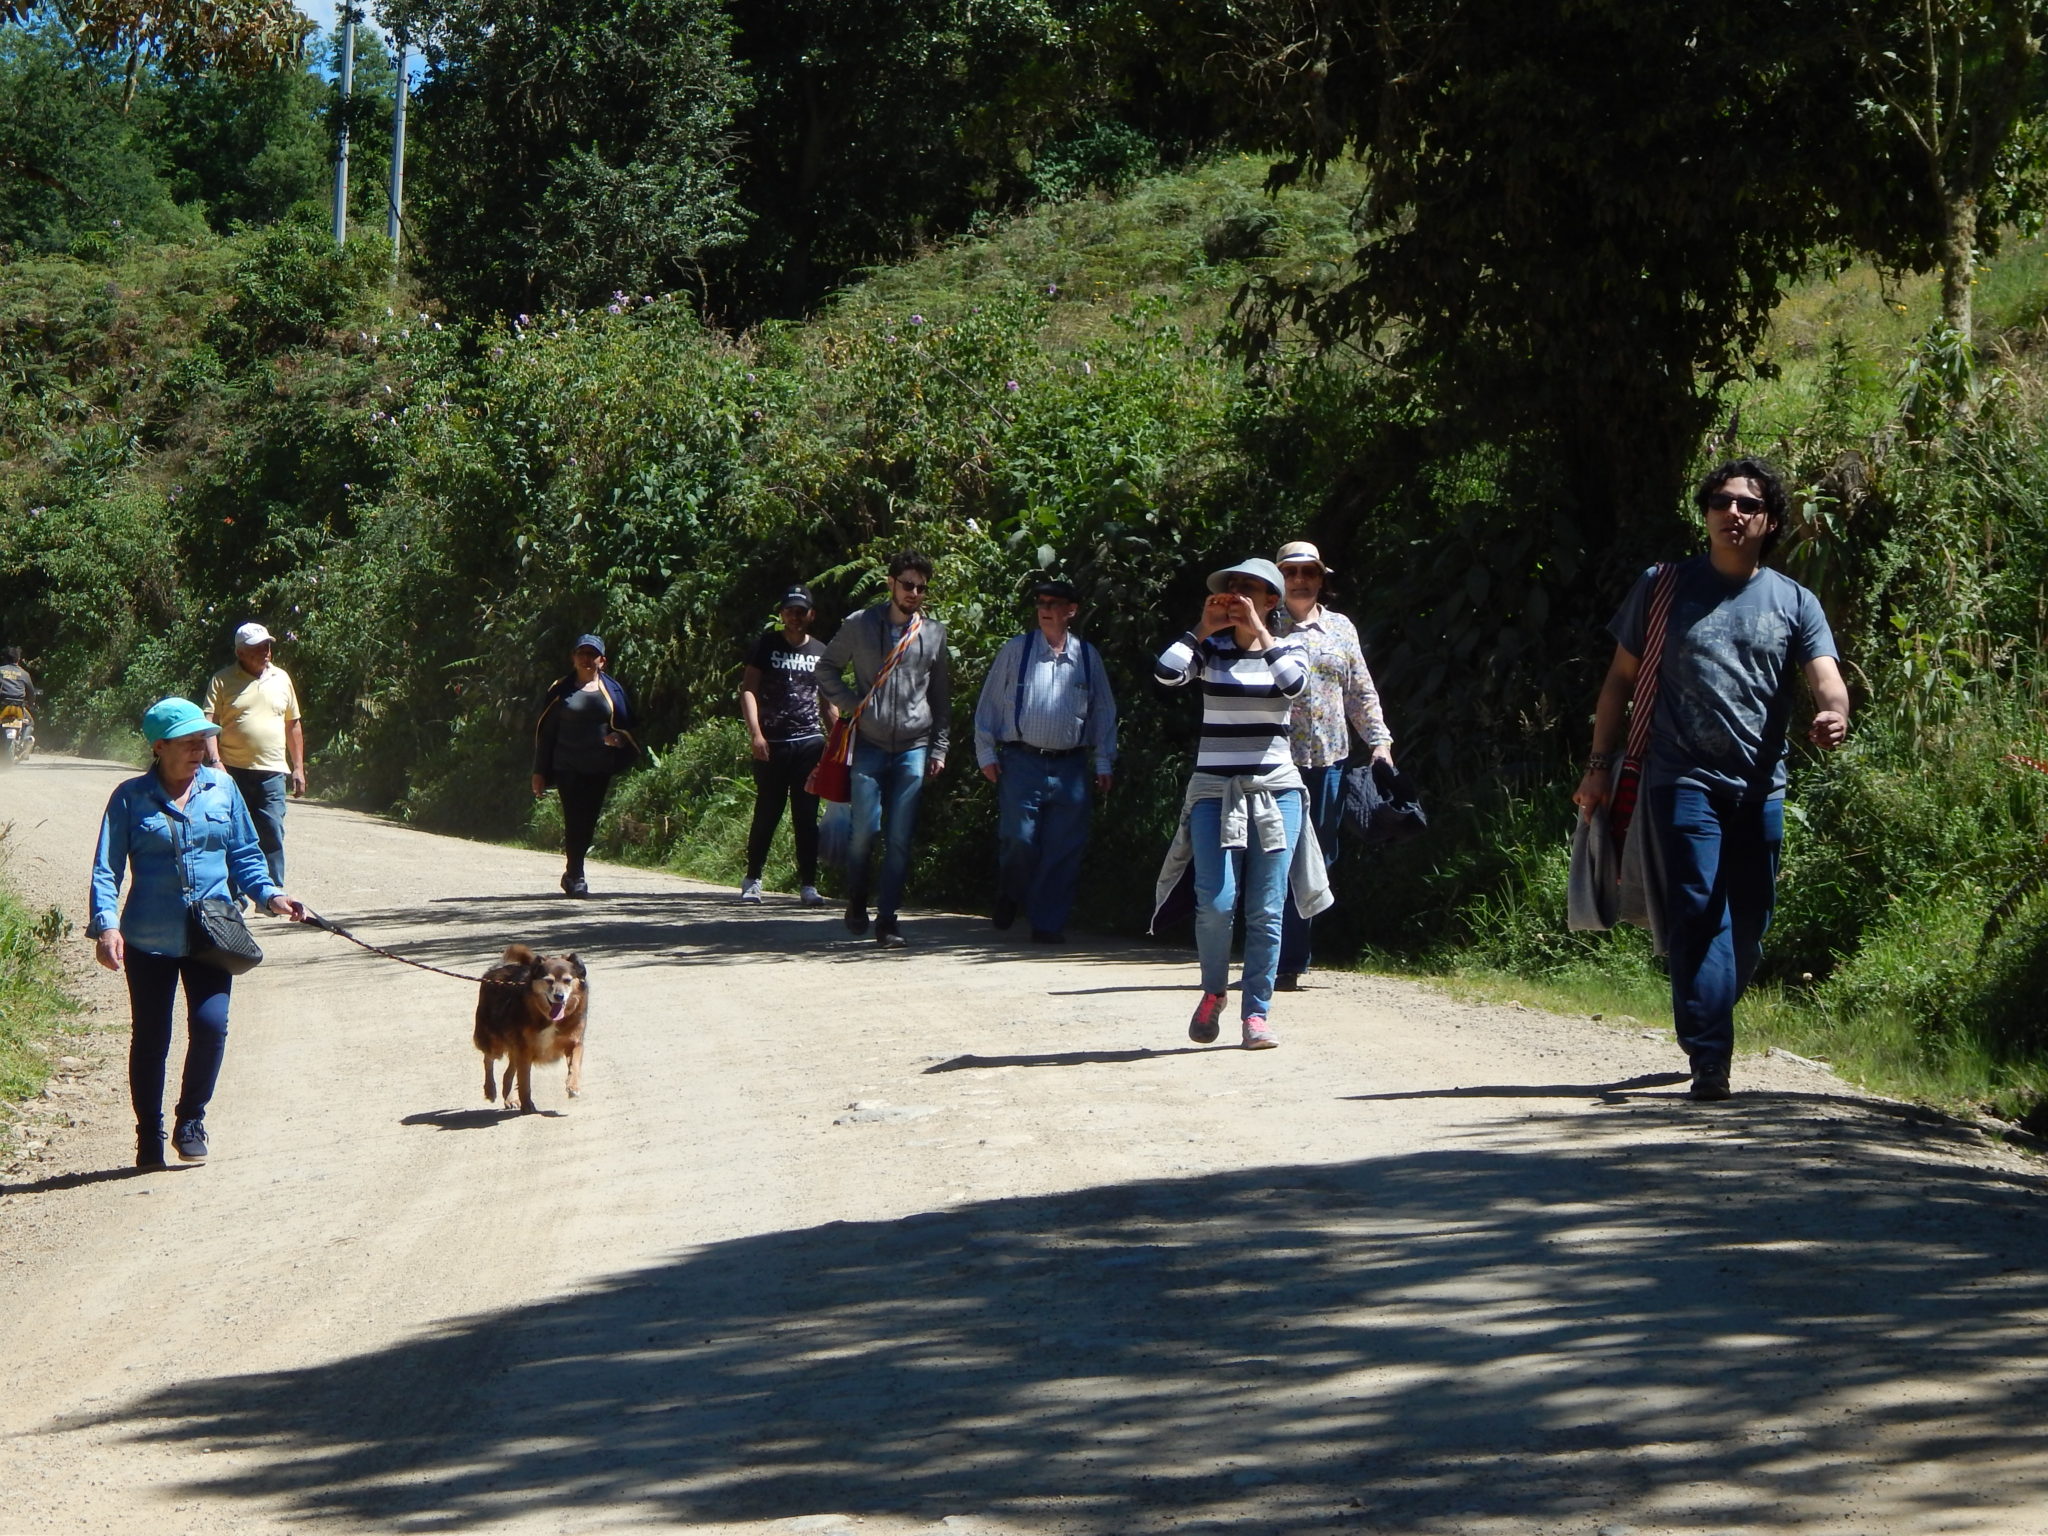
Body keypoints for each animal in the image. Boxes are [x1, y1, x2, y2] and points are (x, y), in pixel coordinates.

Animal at [468, 946, 585, 1114]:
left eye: (568, 980)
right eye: (548, 981)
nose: (559, 996)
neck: (548, 1016)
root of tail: (497, 968)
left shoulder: (574, 1042)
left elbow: (575, 1063)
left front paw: (573, 1087)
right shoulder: (525, 1048)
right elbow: (524, 1080)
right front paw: (527, 1104)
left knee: (507, 1073)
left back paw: (509, 1099)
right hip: (495, 1042)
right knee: (488, 1059)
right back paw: (490, 1090)